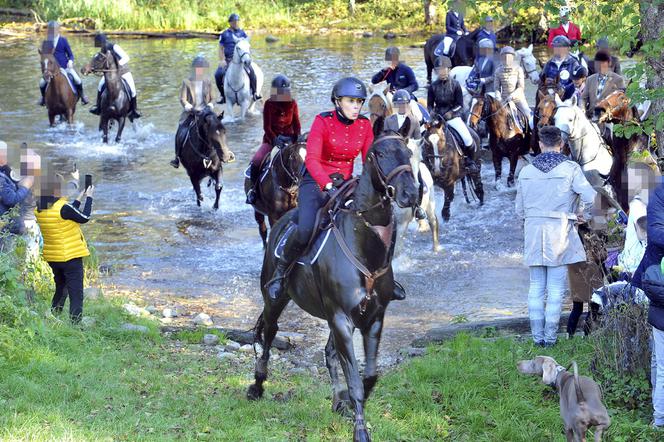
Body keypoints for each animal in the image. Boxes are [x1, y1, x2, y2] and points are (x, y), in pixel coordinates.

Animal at [246, 121, 418, 442]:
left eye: (409, 152)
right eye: (379, 153)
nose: (410, 193)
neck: (364, 247)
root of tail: (283, 221)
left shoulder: (373, 318)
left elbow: (368, 376)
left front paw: (349, 404)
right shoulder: (341, 319)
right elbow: (356, 379)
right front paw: (360, 430)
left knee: (328, 353)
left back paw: (337, 400)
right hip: (277, 297)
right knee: (270, 332)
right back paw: (257, 385)